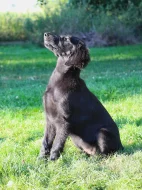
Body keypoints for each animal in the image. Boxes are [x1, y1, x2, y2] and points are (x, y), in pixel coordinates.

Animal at [39, 32, 123, 160]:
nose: (46, 34)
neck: (58, 81)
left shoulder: (63, 122)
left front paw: (52, 161)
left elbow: (56, 145)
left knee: (105, 154)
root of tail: (122, 146)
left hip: (102, 132)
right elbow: (45, 143)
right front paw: (40, 161)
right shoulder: (50, 120)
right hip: (76, 138)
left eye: (66, 39)